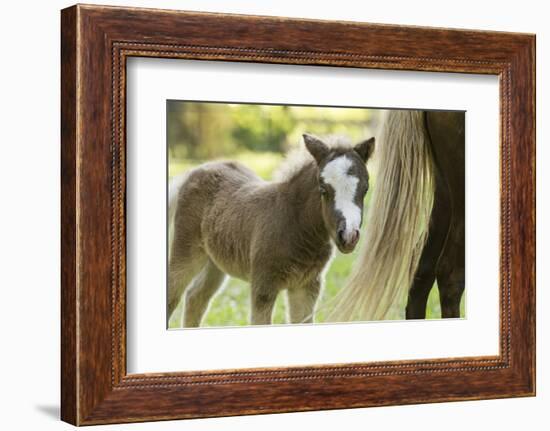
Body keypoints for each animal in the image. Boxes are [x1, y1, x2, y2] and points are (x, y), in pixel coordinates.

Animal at [167, 135, 376, 328]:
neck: (296, 225)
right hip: (186, 251)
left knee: (196, 297)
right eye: (323, 189)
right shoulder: (263, 286)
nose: (348, 236)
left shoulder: (307, 286)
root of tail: (195, 170)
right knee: (173, 296)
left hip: (216, 261)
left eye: (365, 188)